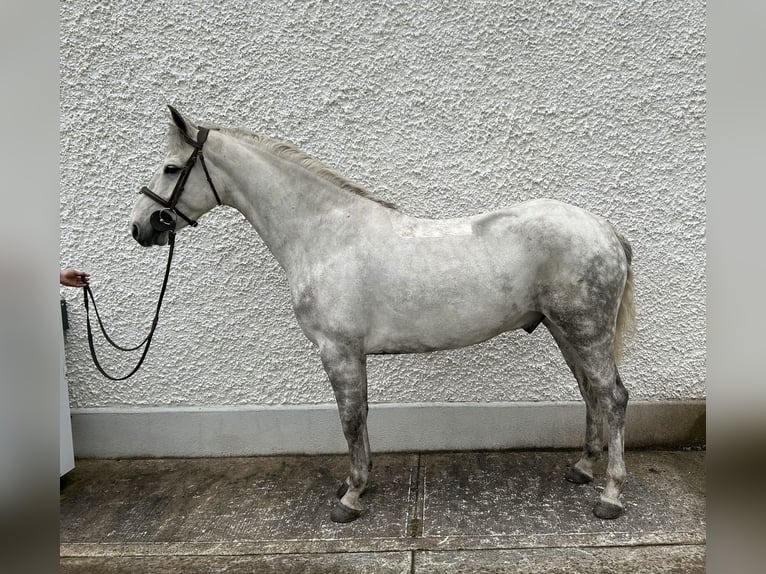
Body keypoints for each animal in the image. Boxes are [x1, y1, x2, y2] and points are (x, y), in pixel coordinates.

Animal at [129, 106, 636, 523]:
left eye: (171, 167)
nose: (140, 227)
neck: (325, 234)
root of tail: (605, 228)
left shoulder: (338, 351)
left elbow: (350, 419)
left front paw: (351, 498)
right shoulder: (350, 354)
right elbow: (361, 415)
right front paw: (357, 483)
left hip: (585, 329)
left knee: (612, 397)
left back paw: (611, 495)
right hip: (564, 330)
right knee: (591, 392)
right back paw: (582, 469)